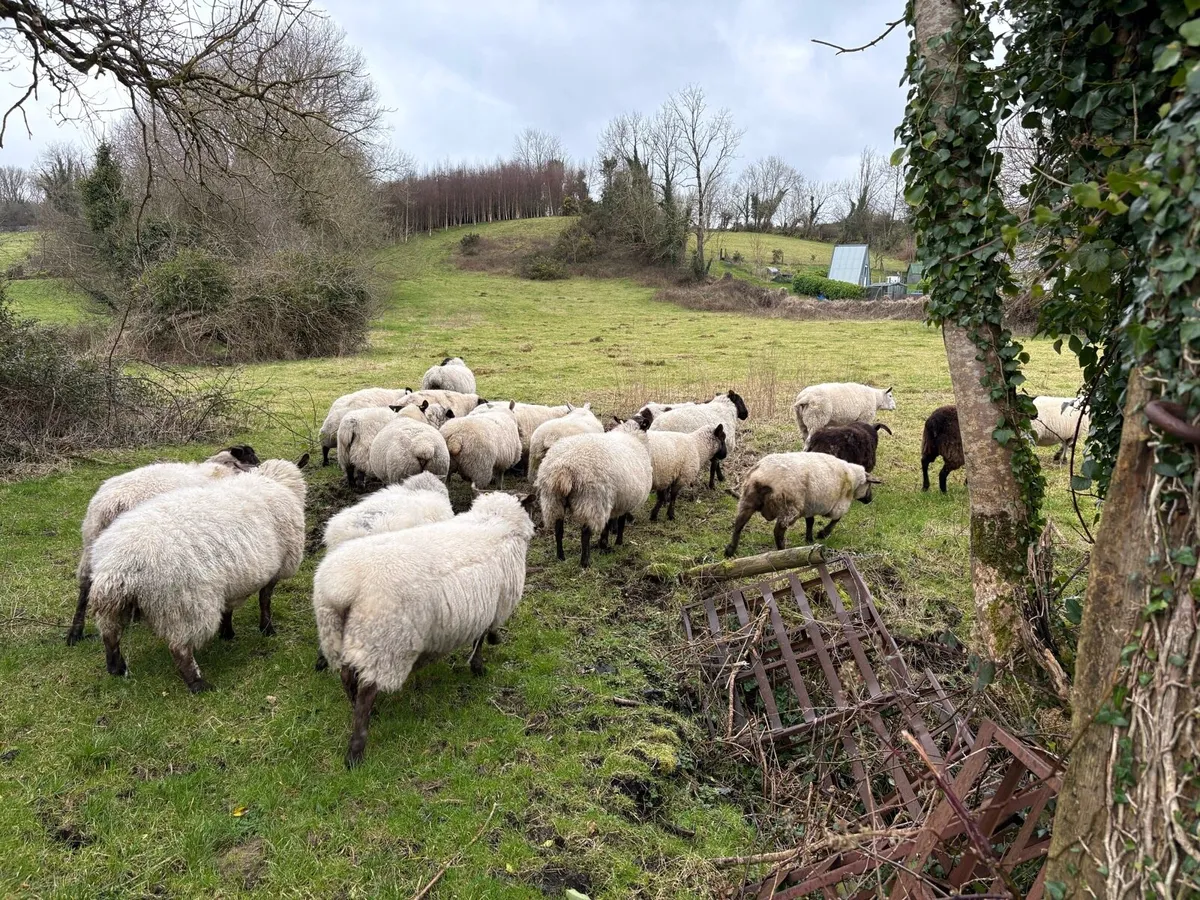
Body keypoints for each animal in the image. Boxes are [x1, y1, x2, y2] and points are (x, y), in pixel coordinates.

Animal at [67, 445, 260, 647]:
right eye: (252, 457)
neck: (221, 470)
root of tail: (110, 506)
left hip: (92, 544)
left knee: (85, 585)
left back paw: (75, 633)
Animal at [88, 455, 309, 692]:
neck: (274, 483)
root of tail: (120, 564)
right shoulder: (278, 567)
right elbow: (265, 600)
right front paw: (267, 628)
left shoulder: (231, 581)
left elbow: (229, 609)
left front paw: (227, 633)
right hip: (185, 605)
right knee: (180, 648)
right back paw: (198, 684)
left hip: (117, 606)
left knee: (110, 635)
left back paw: (117, 668)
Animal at [313, 489, 536, 767]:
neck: (494, 520)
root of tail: (342, 589)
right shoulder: (497, 602)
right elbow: (481, 638)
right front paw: (480, 664)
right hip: (384, 643)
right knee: (366, 693)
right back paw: (356, 751)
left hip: (338, 635)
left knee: (346, 677)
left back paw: (356, 707)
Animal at [536, 412, 654, 568]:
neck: (631, 434)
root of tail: (564, 467)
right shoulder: (624, 500)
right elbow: (619, 522)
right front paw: (615, 543)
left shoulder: (615, 500)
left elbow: (609, 524)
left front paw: (605, 543)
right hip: (592, 500)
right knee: (585, 533)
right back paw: (585, 562)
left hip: (553, 499)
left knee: (558, 529)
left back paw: (561, 556)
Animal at [724, 452, 881, 557]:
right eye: (869, 486)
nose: (870, 499)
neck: (853, 478)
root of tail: (762, 478)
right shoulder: (838, 505)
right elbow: (836, 519)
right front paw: (823, 533)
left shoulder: (810, 505)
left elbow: (810, 521)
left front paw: (809, 539)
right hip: (790, 507)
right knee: (778, 531)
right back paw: (782, 550)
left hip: (747, 500)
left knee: (738, 524)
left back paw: (730, 550)